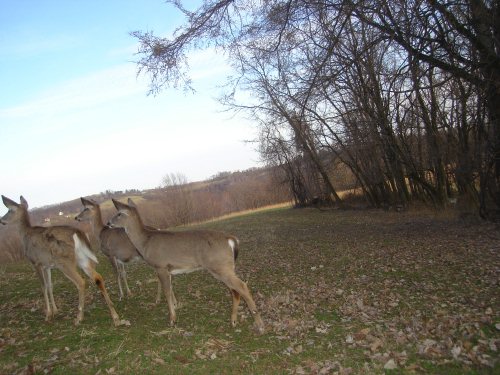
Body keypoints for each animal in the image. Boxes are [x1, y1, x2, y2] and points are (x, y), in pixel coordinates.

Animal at [0, 195, 121, 328]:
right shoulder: (47, 265)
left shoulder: (36, 262)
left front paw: (48, 315)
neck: (25, 236)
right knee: (98, 277)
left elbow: (43, 286)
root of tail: (78, 233)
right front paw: (55, 310)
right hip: (82, 259)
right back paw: (115, 316)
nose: (1, 220)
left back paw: (79, 317)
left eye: (9, 210)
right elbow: (50, 285)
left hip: (64, 262)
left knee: (81, 282)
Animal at [107, 198, 266, 334]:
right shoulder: (168, 269)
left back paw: (259, 324)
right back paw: (233, 321)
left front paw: (172, 320)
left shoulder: (161, 266)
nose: (108, 223)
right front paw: (175, 309)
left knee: (242, 286)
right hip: (224, 267)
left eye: (119, 213)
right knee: (235, 291)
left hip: (220, 266)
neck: (145, 242)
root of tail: (231, 239)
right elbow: (170, 289)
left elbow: (166, 291)